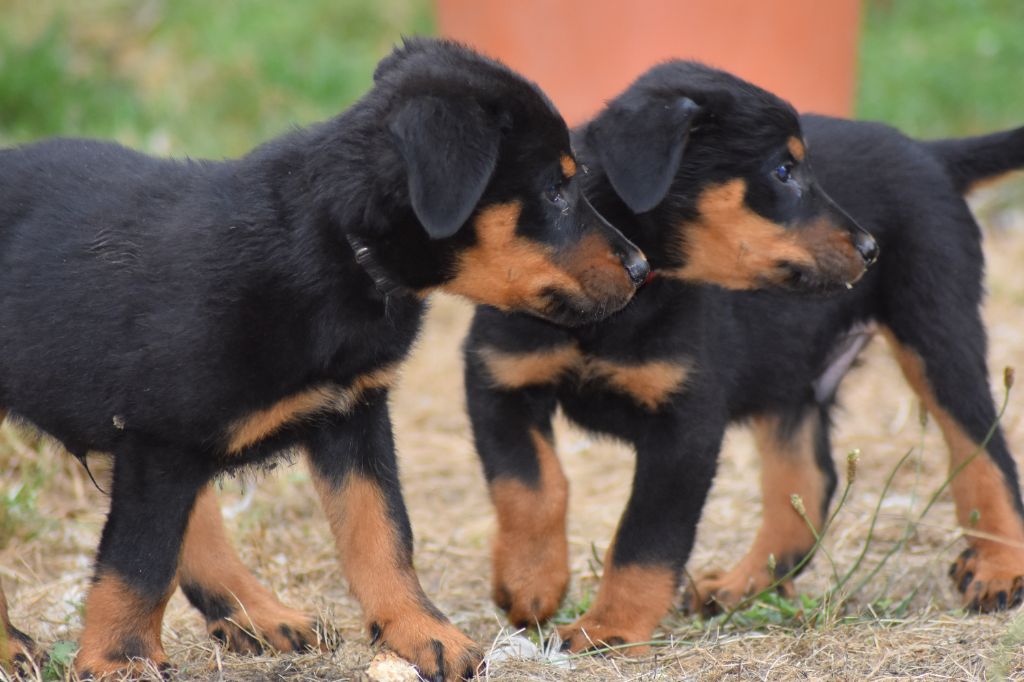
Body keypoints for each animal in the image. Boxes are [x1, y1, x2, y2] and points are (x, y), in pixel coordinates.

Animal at [0, 38, 647, 679]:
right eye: (557, 190)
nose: (642, 267)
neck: (338, 241)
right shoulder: (161, 438)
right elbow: (139, 561)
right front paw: (121, 660)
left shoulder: (352, 415)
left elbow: (382, 533)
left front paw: (421, 631)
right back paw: (16, 645)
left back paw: (258, 615)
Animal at [466, 62, 1024, 647]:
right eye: (783, 171)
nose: (871, 248)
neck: (620, 304)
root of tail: (929, 152)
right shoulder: (499, 382)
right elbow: (531, 486)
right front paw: (530, 583)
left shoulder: (685, 427)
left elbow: (645, 536)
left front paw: (608, 628)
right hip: (791, 376)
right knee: (808, 482)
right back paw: (742, 584)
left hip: (937, 332)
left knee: (983, 449)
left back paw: (999, 570)